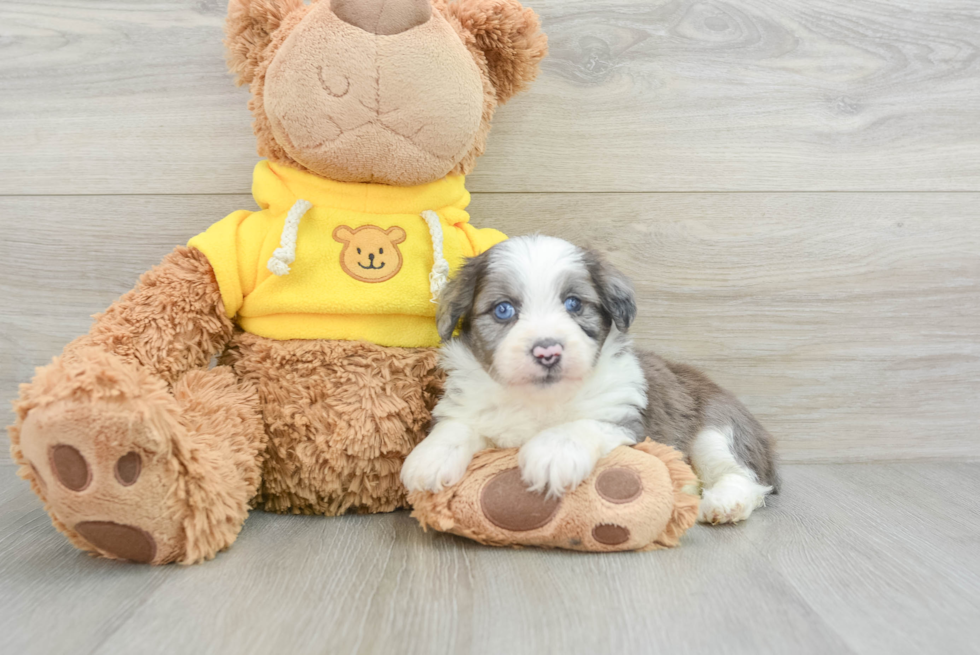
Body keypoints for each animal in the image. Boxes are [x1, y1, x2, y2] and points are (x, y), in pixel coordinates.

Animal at [400, 234, 780, 524]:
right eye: (503, 309)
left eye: (573, 304)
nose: (547, 352)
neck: (540, 400)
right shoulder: (471, 405)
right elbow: (457, 427)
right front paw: (429, 458)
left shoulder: (627, 421)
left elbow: (582, 425)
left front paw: (553, 452)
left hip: (718, 428)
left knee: (743, 475)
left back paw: (724, 502)